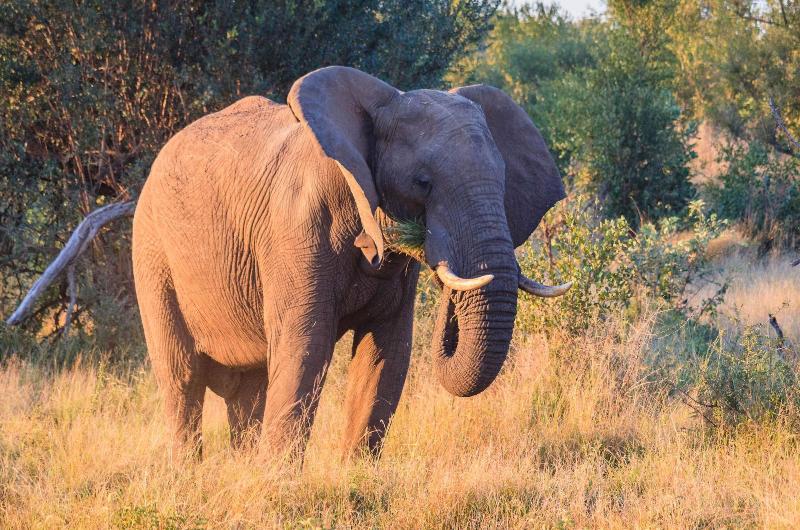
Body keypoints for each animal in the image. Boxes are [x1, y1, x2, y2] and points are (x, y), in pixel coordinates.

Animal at [131, 65, 568, 454]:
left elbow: (386, 354)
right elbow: (305, 350)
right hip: (152, 254)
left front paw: (356, 475)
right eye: (422, 183)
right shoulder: (296, 231)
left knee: (248, 389)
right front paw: (279, 483)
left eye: (504, 180)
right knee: (182, 380)